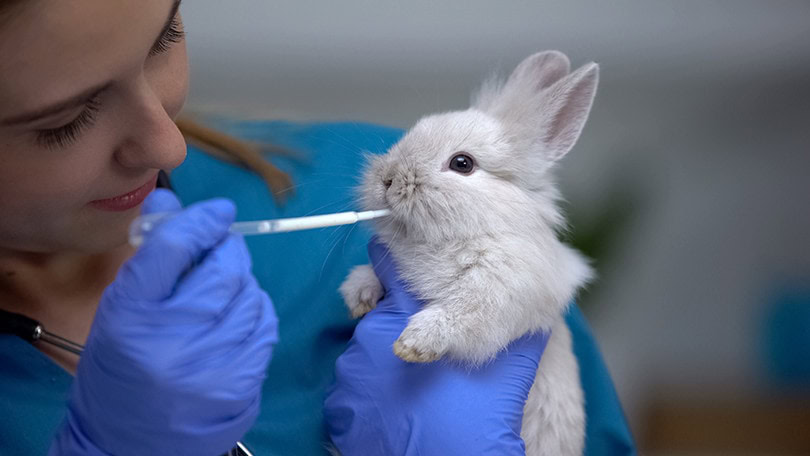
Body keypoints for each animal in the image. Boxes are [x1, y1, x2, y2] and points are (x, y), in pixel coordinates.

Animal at [339, 50, 598, 456]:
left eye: (462, 164)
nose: (388, 179)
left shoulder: (502, 292)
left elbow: (458, 315)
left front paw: (412, 343)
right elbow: (369, 275)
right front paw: (359, 297)